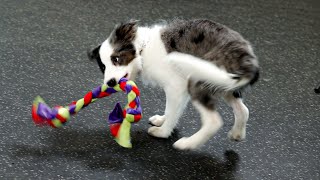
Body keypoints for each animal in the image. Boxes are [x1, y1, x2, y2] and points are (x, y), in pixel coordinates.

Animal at [88, 19, 260, 150]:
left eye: (116, 59)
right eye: (102, 67)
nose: (110, 82)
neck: (143, 50)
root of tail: (247, 58)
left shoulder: (177, 87)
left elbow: (171, 111)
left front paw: (162, 132)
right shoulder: (180, 90)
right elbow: (172, 110)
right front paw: (161, 120)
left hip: (199, 79)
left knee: (213, 121)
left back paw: (186, 144)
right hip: (224, 84)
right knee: (243, 110)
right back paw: (237, 134)